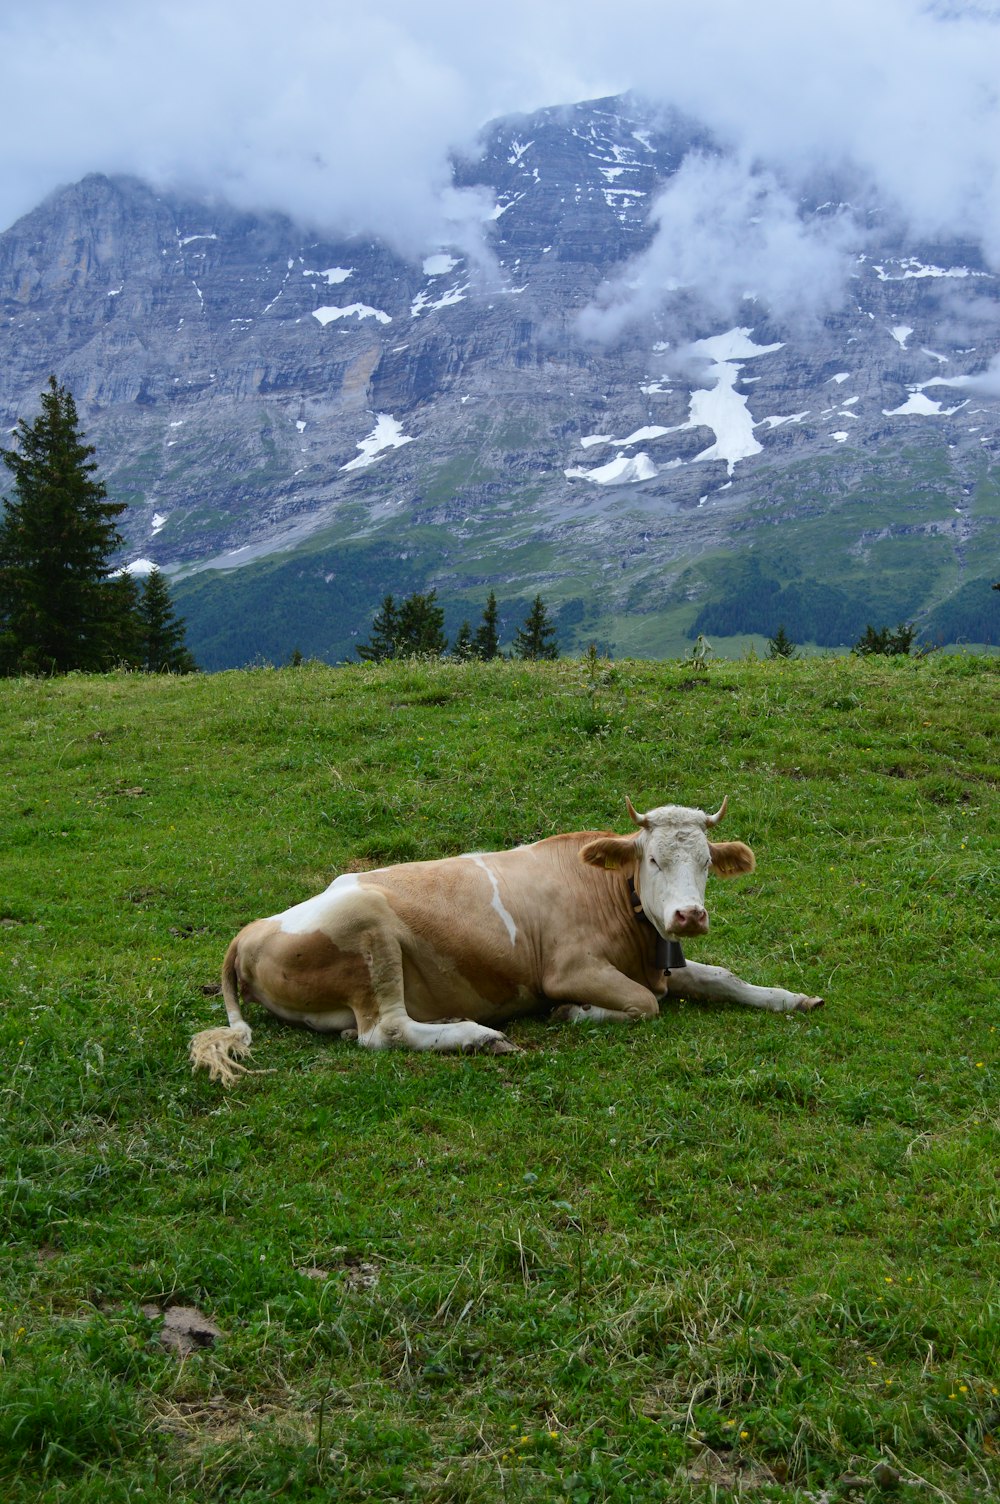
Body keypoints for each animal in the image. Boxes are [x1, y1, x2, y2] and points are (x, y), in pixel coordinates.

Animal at [187, 800, 818, 1082]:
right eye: (654, 859)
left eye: (707, 862)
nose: (688, 916)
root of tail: (250, 931)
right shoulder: (569, 969)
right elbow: (645, 1005)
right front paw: (575, 1013)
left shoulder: (663, 961)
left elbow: (723, 978)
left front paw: (790, 998)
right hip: (369, 929)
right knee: (384, 1031)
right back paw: (479, 1036)